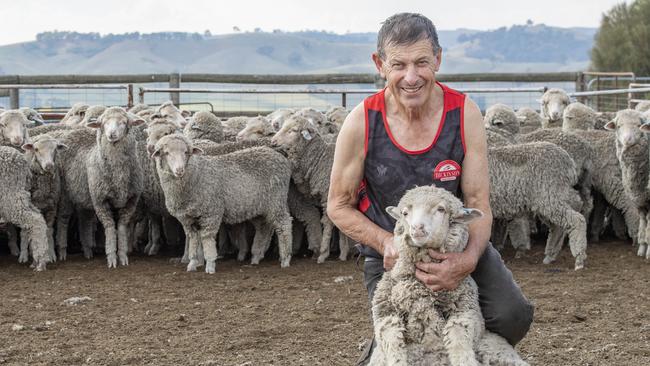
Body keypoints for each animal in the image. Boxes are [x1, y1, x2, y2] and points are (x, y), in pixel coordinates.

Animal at [151, 134, 292, 272]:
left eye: (186, 152)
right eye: (166, 153)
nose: (179, 170)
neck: (196, 175)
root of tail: (277, 155)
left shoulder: (211, 213)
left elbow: (207, 239)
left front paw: (210, 265)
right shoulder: (187, 219)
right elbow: (193, 240)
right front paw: (192, 263)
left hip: (276, 200)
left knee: (284, 225)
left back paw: (285, 259)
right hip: (259, 207)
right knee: (263, 227)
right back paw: (256, 257)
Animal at [486, 142, 588, 270]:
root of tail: (568, 161)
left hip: (550, 195)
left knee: (577, 219)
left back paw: (579, 258)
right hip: (551, 197)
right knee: (567, 215)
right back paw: (551, 255)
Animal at [604, 110, 648, 258]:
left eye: (638, 125)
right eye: (618, 126)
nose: (627, 140)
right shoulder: (639, 199)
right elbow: (643, 225)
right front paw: (642, 248)